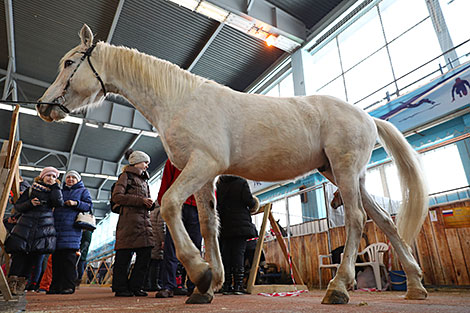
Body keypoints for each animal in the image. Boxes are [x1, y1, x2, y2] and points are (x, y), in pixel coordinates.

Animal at [38, 25, 430, 304]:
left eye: (69, 63)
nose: (44, 106)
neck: (180, 99)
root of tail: (367, 116)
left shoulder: (203, 164)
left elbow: (169, 205)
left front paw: (199, 272)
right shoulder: (203, 176)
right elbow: (209, 225)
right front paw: (209, 284)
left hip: (345, 171)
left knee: (357, 220)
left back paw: (339, 287)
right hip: (342, 173)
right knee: (385, 222)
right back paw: (414, 286)